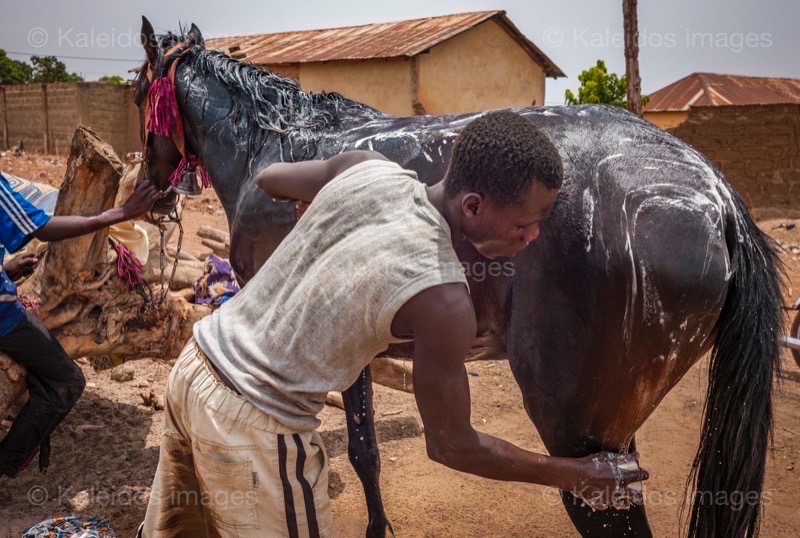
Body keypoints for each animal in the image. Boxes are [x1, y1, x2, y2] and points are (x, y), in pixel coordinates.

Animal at [136, 18, 780, 532]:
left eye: (139, 89)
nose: (150, 186)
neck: (274, 146)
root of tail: (716, 194)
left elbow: (363, 448)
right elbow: (367, 449)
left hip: (578, 433)